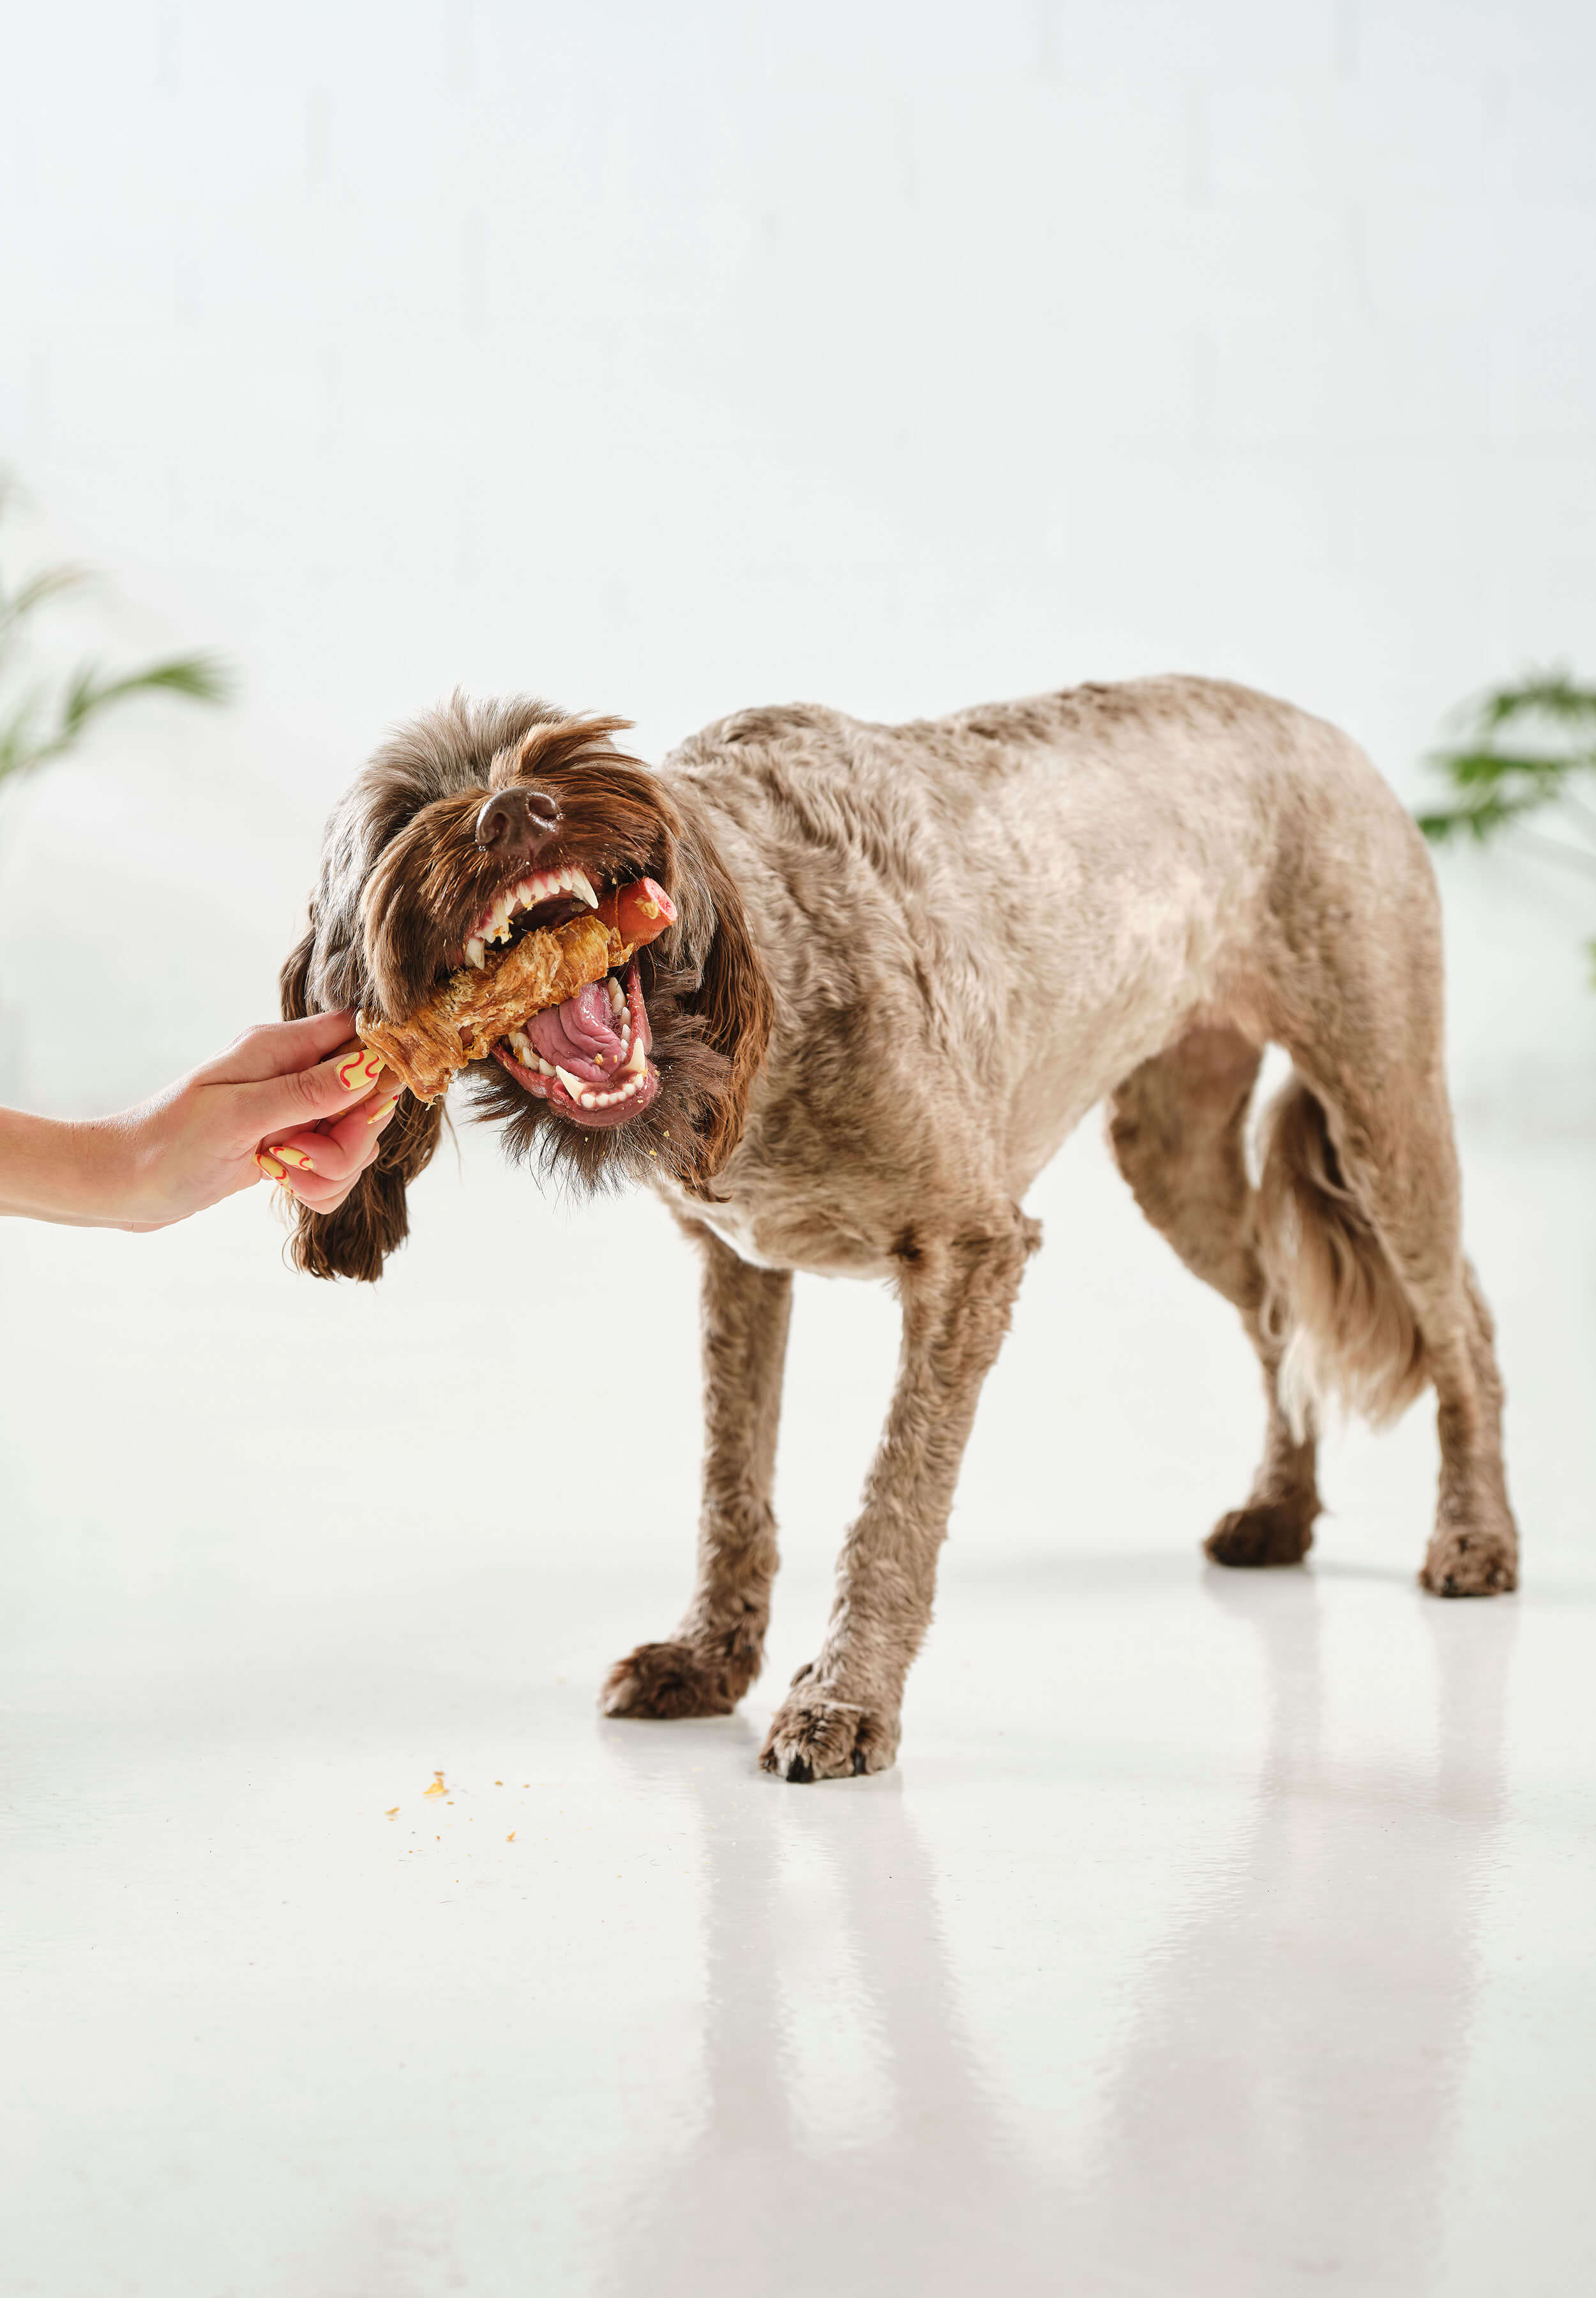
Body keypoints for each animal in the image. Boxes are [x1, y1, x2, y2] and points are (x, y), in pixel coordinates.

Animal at [283, 671, 1526, 1783]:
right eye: (405, 812)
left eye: (563, 753)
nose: (512, 813)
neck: (764, 969)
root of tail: (1319, 727)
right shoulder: (739, 1269)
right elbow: (732, 1486)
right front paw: (711, 1660)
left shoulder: (973, 1255)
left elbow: (895, 1504)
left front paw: (843, 1702)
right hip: (1175, 1159)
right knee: (1276, 1310)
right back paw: (1283, 1510)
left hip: (1383, 1113)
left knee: (1463, 1326)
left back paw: (1476, 1536)